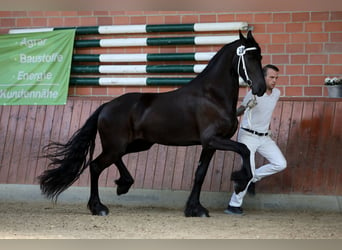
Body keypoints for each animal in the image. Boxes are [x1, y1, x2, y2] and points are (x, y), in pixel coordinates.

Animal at [38, 30, 266, 217]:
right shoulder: (213, 140)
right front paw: (241, 182)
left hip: (137, 144)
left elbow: (200, 174)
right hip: (118, 145)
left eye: (260, 56)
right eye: (249, 57)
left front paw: (195, 209)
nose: (261, 88)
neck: (212, 96)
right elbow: (244, 149)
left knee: (112, 160)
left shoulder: (210, 145)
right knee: (95, 166)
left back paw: (123, 184)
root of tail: (106, 106)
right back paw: (98, 207)